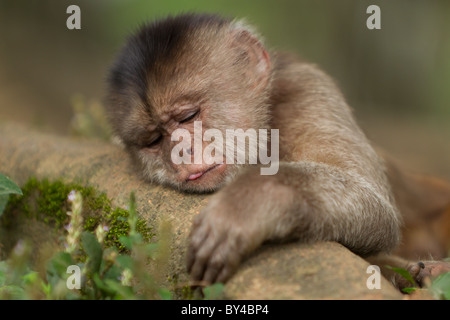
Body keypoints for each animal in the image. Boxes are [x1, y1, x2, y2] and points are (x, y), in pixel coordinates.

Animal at [106, 13, 450, 290]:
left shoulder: (307, 89)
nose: (183, 153)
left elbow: (378, 208)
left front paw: (254, 200)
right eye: (154, 140)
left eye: (188, 116)